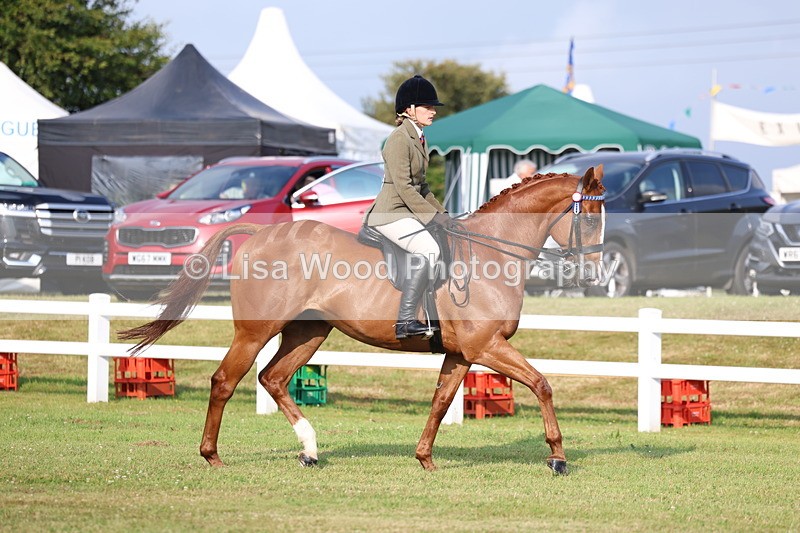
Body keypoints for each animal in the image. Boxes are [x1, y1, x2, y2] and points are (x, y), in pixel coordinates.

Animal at [120, 166, 606, 475]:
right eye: (590, 219)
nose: (595, 275)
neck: (492, 253)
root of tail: (260, 233)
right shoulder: (486, 346)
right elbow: (542, 384)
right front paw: (558, 457)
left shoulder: (462, 353)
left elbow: (440, 401)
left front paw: (425, 459)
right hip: (256, 331)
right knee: (225, 380)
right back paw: (213, 456)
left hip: (308, 332)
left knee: (273, 378)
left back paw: (310, 450)